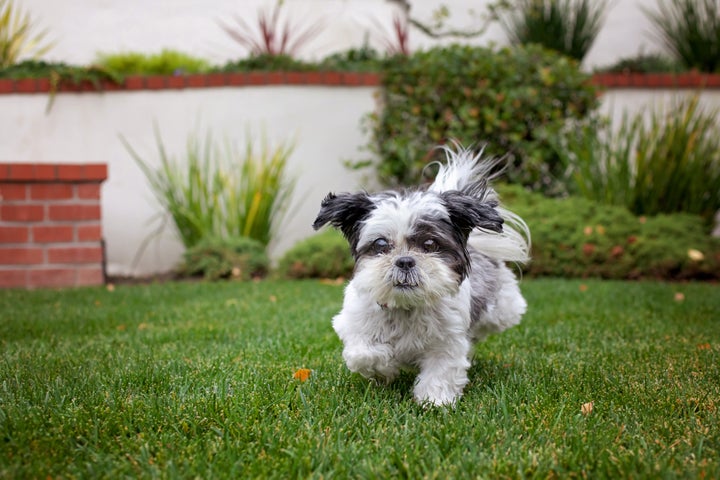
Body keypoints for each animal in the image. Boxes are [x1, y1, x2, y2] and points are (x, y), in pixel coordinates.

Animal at [314, 144, 528, 406]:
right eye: (381, 244)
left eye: (429, 244)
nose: (405, 261)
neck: (406, 307)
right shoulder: (353, 324)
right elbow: (365, 354)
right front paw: (386, 368)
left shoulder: (447, 341)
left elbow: (441, 370)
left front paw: (434, 401)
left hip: (503, 310)